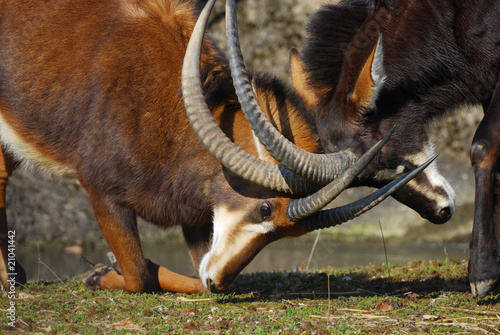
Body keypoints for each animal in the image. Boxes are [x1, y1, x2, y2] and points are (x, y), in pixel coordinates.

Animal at [0, 0, 430, 294]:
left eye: (287, 234)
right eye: (265, 208)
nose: (219, 281)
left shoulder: (194, 217)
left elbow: (188, 275)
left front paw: (110, 268)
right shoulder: (102, 193)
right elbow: (139, 277)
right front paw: (99, 272)